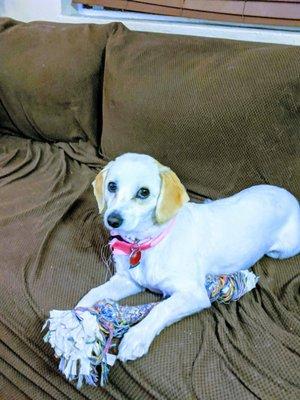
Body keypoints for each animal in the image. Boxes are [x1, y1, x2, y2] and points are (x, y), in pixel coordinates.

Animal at [77, 152, 300, 362]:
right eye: (112, 186)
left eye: (144, 192)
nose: (112, 220)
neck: (146, 242)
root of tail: (289, 196)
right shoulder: (129, 280)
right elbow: (94, 293)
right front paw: (81, 319)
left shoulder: (194, 294)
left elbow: (161, 308)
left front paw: (136, 337)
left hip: (284, 250)